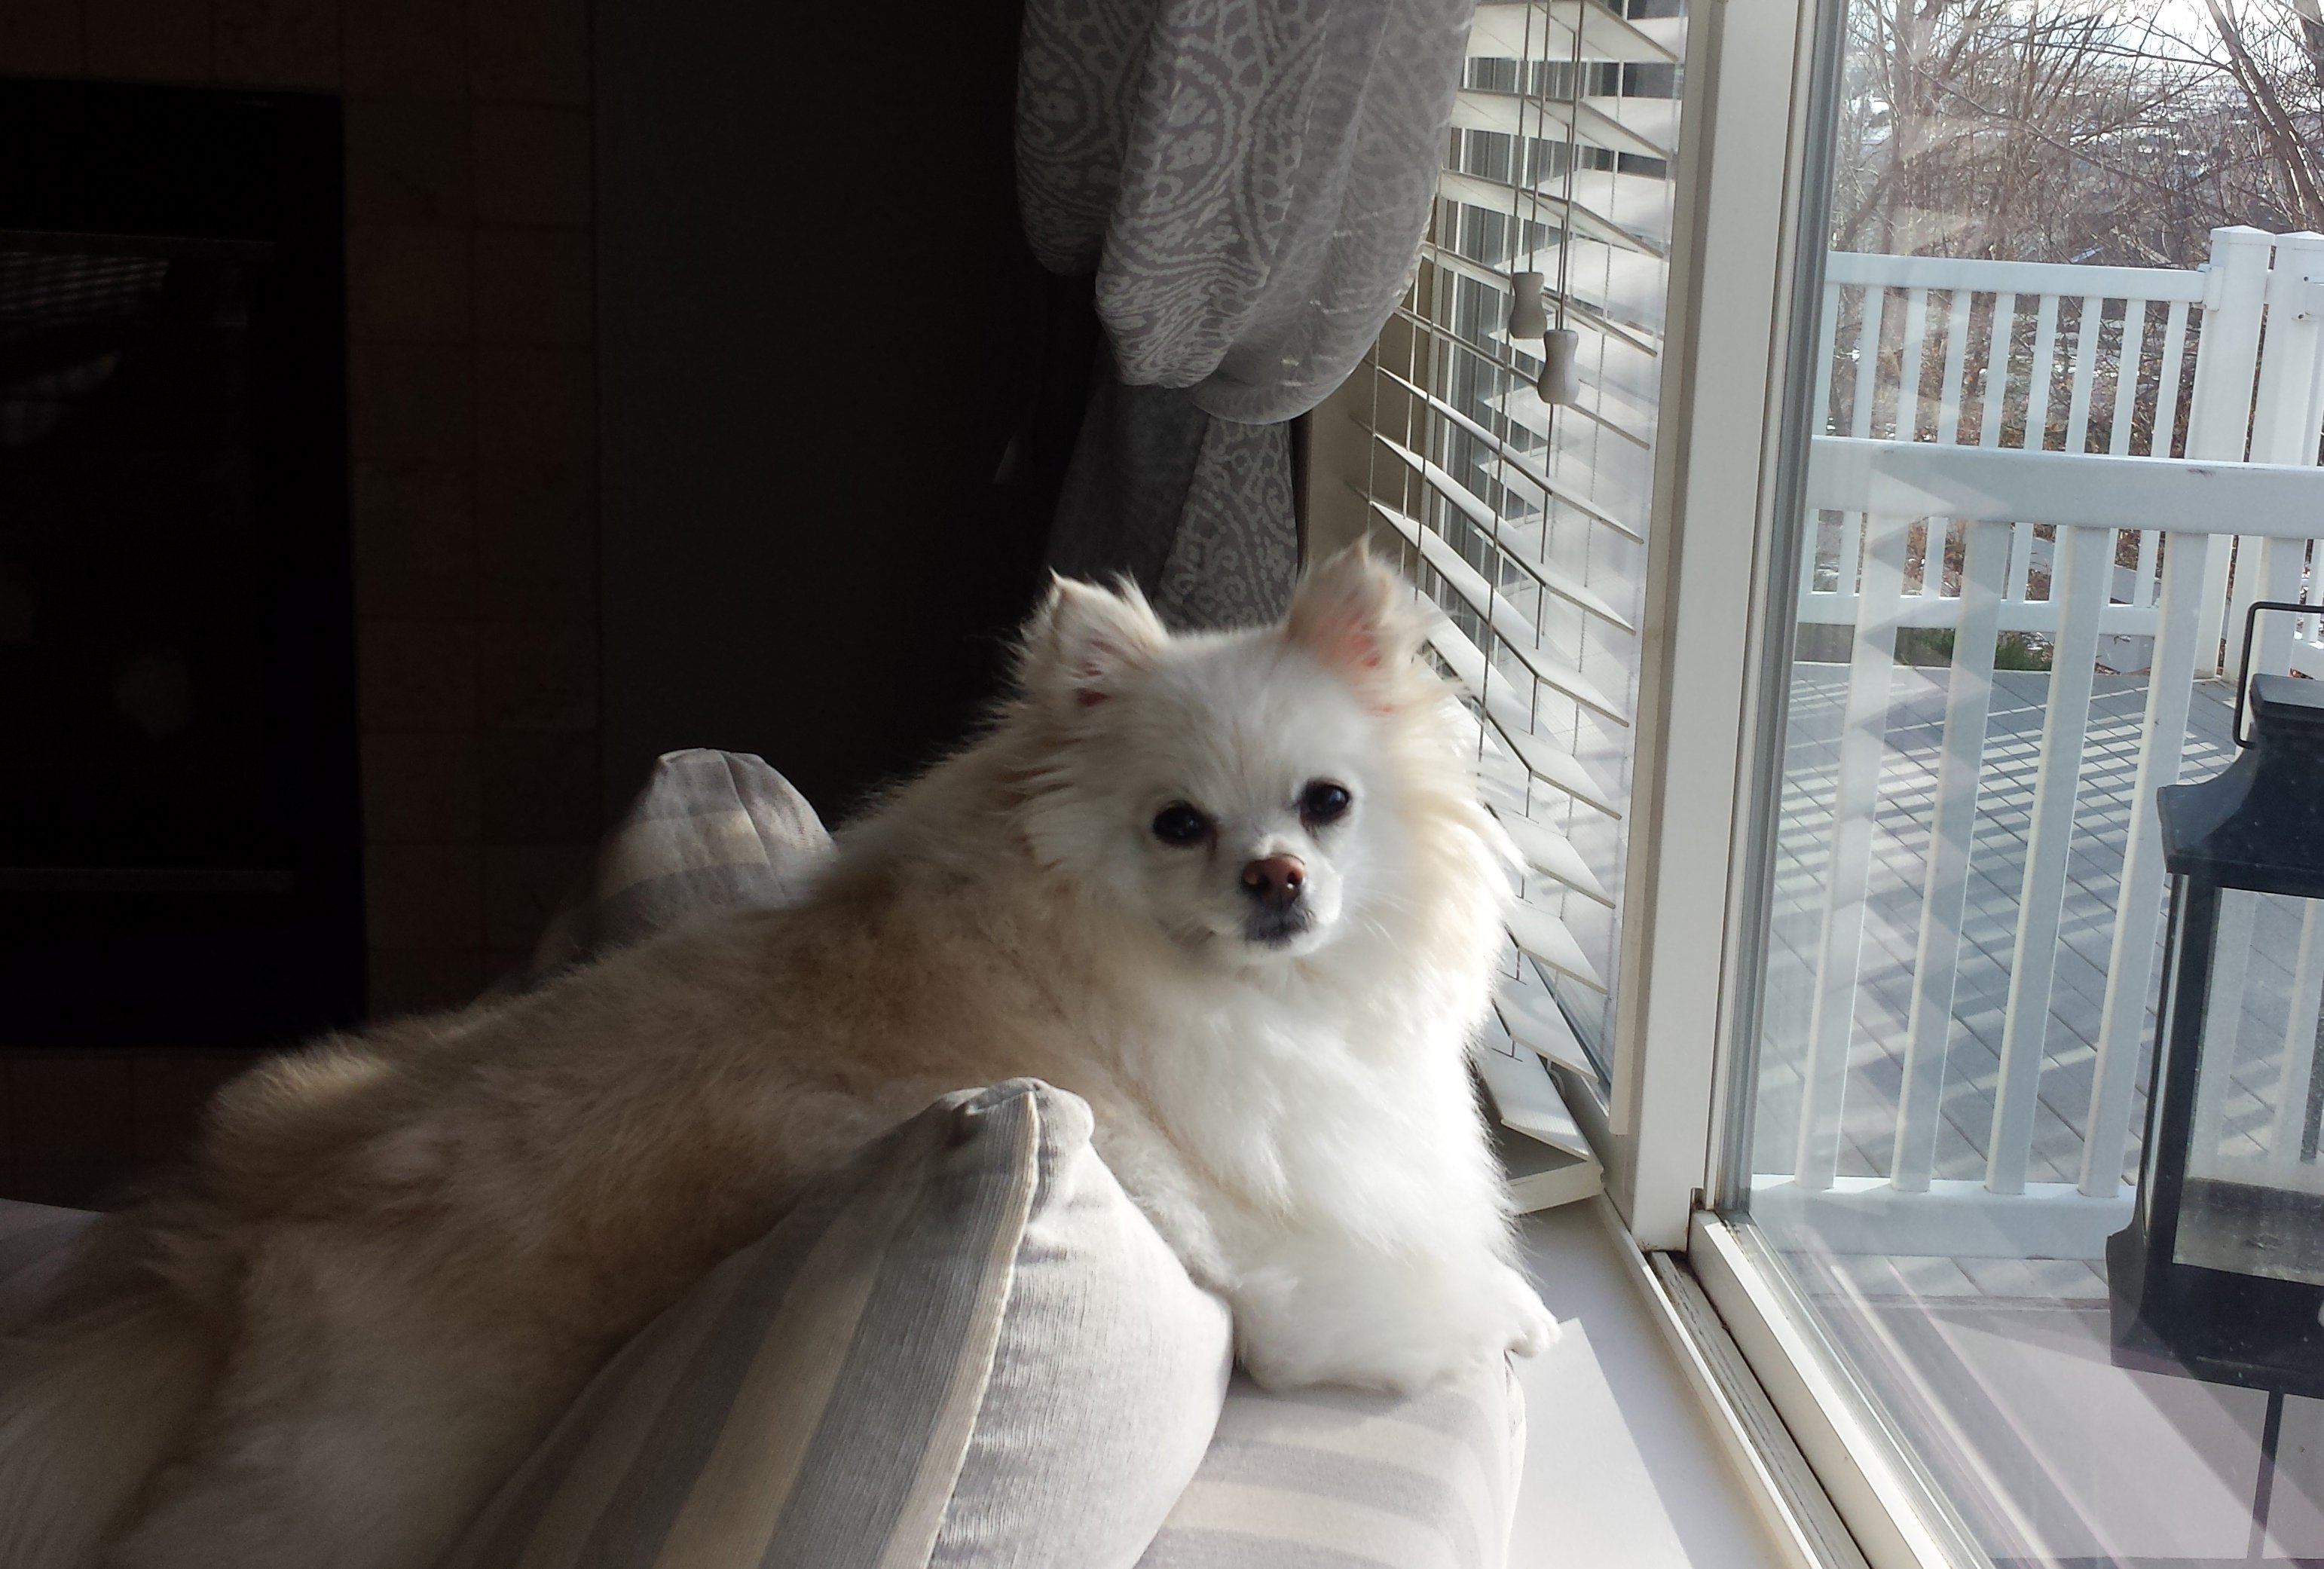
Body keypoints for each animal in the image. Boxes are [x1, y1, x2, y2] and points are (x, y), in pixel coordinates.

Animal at [9, 546, 1561, 1561]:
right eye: (1180, 825)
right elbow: (1448, 1298)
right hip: (370, 1469)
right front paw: (1522, 1315)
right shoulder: (1295, 1272)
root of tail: (218, 1238)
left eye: (1326, 802)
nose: (1275, 877)